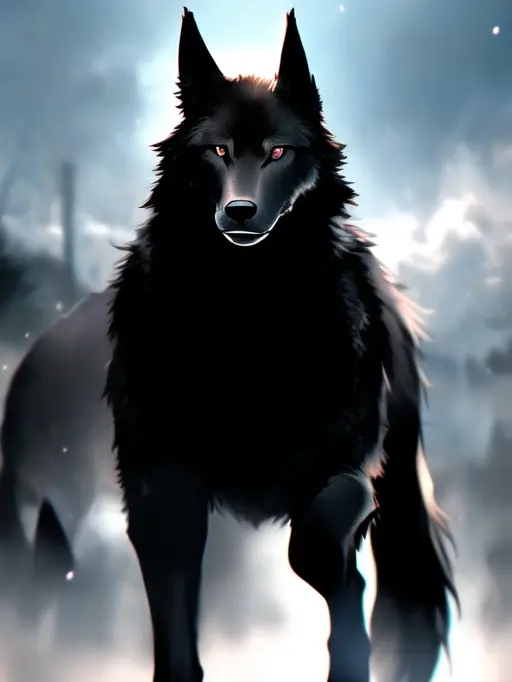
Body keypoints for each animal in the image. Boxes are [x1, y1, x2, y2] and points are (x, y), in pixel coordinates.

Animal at [104, 7, 458, 682]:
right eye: (218, 150)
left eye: (277, 152)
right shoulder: (161, 491)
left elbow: (318, 551)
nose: (240, 211)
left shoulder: (345, 470)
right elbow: (176, 625)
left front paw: (350, 648)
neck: (248, 320)